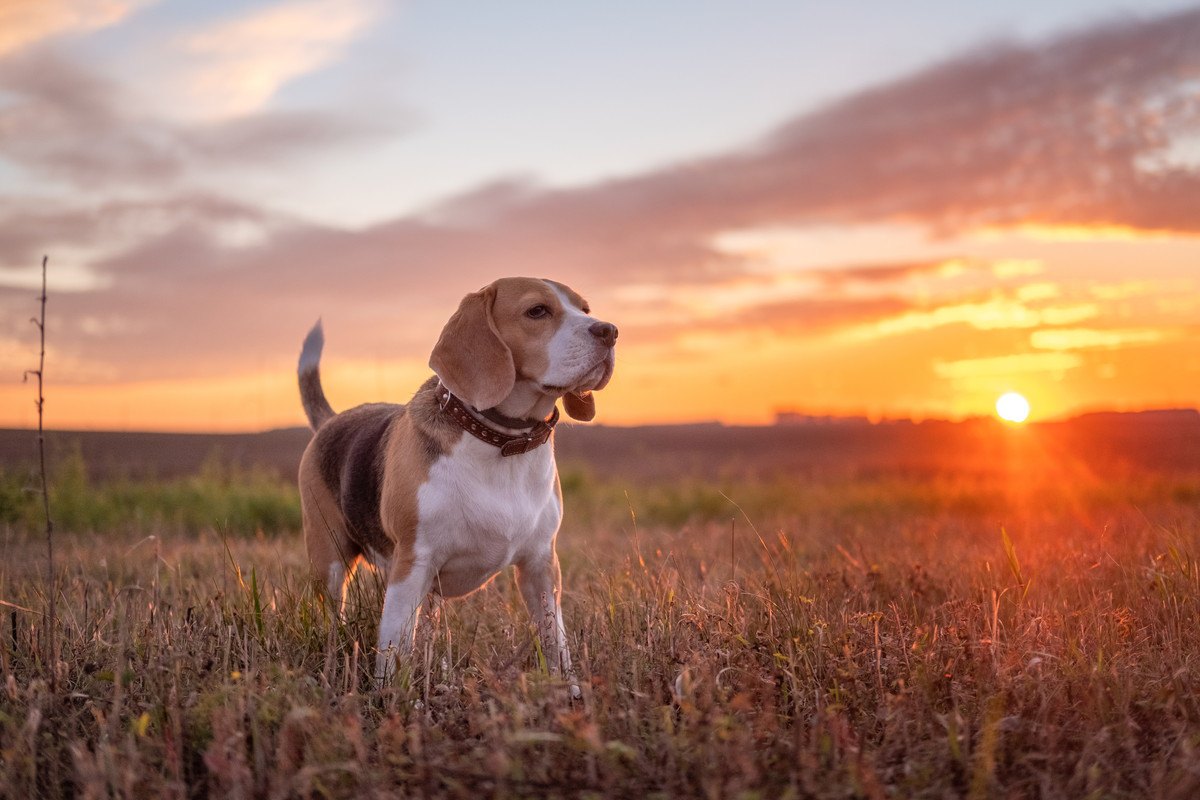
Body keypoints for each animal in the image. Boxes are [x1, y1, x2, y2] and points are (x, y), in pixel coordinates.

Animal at [295, 277, 619, 690]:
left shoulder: (542, 566)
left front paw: (568, 687)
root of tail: (332, 420)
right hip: (330, 559)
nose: (610, 331)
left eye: (585, 310)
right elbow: (394, 648)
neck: (502, 443)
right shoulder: (411, 566)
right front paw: (391, 697)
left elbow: (554, 637)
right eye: (537, 311)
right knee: (335, 614)